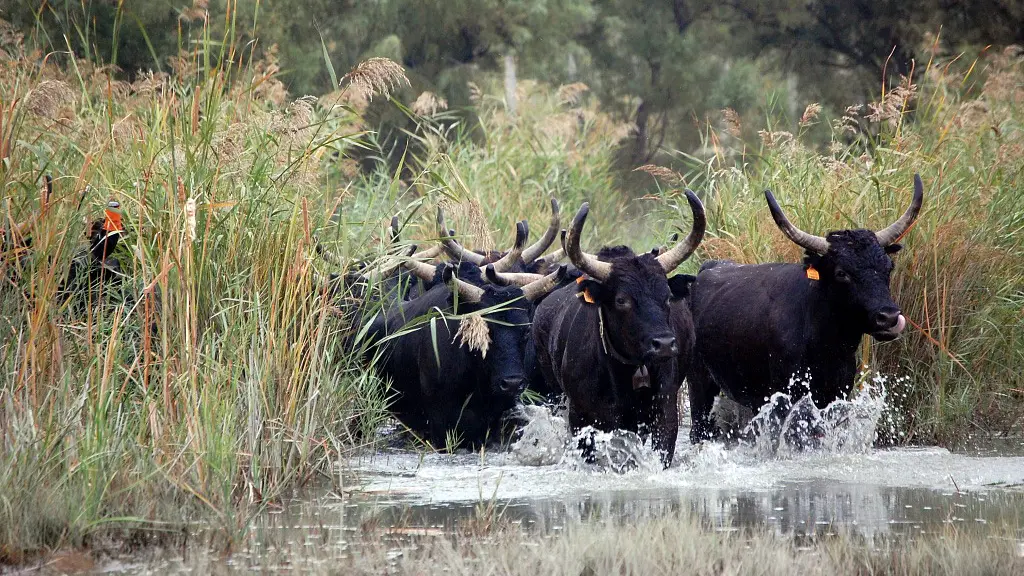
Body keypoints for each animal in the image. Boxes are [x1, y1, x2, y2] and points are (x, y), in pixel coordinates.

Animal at [531, 191, 706, 467]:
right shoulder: (581, 419)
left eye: (667, 296)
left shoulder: (664, 413)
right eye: (622, 300)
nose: (664, 344)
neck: (624, 373)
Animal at [686, 174, 924, 443]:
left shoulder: (835, 396)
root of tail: (708, 269)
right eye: (841, 273)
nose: (889, 317)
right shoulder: (786, 398)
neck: (826, 345)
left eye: (888, 267)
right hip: (699, 385)